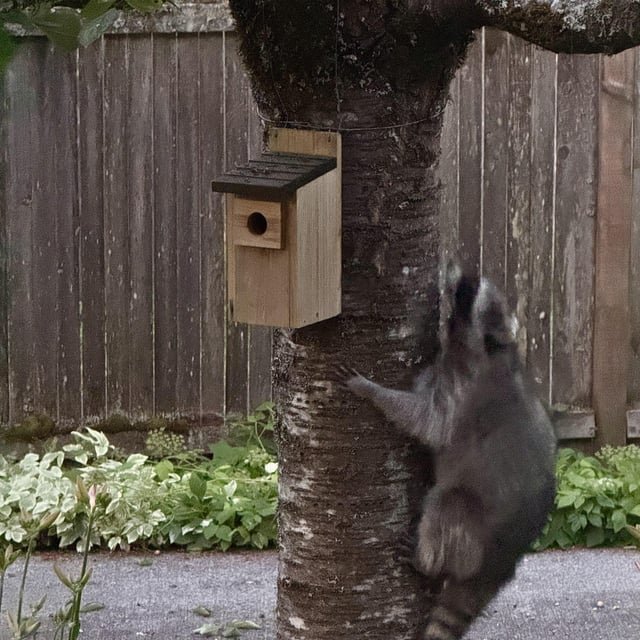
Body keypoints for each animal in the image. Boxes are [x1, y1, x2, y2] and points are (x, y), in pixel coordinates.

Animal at [341, 262, 557, 640]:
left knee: (450, 505)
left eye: (470, 291)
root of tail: (502, 563)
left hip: (477, 522)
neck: (492, 347)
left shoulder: (466, 390)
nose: (460, 269)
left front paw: (372, 391)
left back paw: (427, 562)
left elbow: (428, 422)